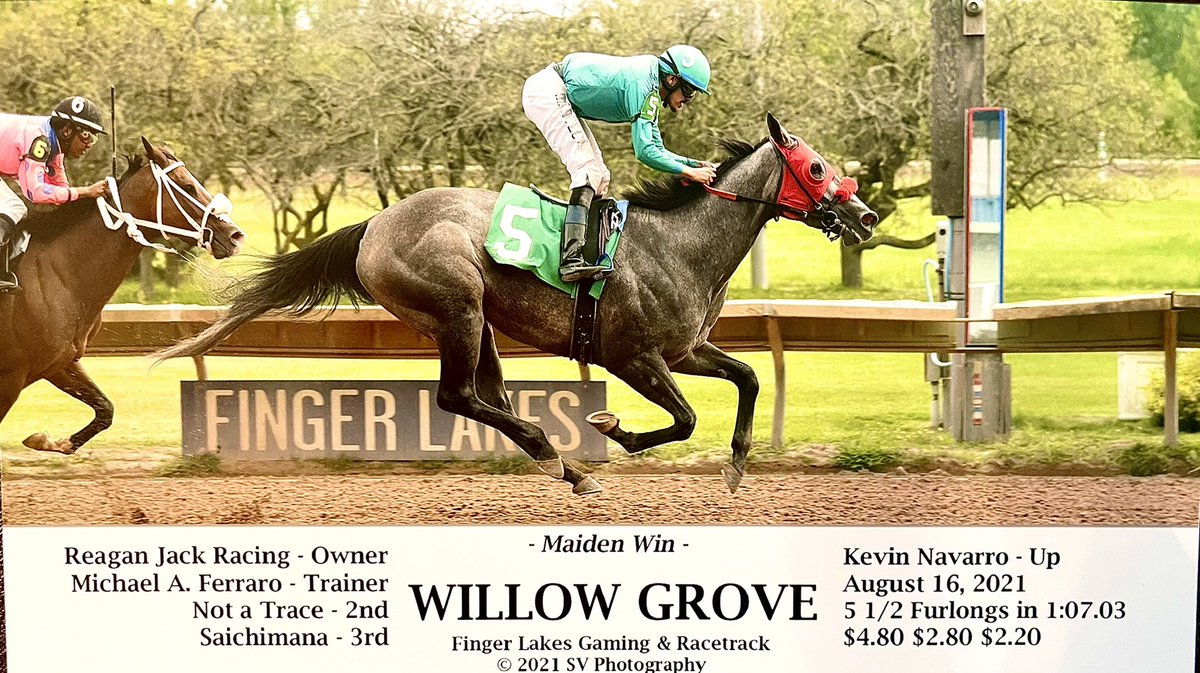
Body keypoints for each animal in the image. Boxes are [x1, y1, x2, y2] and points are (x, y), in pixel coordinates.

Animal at [0, 137, 245, 454]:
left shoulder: (58, 361)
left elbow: (106, 409)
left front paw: (51, 441)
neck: (58, 272)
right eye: (187, 186)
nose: (234, 235)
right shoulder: (11, 376)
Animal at [156, 113, 876, 495]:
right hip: (458, 307)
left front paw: (735, 467)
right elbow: (684, 419)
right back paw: (559, 457)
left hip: (478, 324)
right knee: (457, 397)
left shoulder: (686, 348)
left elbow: (749, 377)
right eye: (815, 168)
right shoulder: (633, 357)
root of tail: (373, 225)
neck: (679, 244)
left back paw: (562, 463)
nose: (866, 215)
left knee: (489, 395)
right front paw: (613, 428)